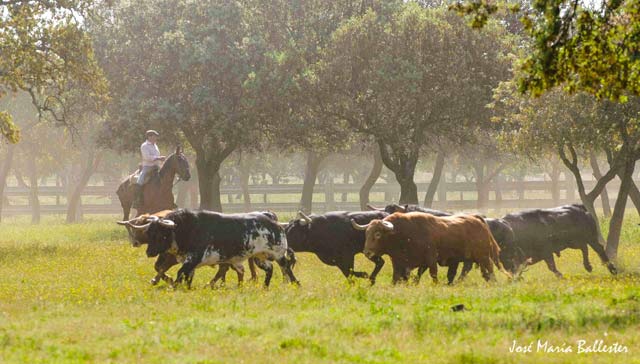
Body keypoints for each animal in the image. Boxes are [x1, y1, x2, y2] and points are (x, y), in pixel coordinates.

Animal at [144, 209, 298, 288]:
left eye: (160, 234)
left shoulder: (193, 258)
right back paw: (265, 287)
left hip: (278, 254)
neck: (187, 228)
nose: (148, 252)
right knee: (269, 269)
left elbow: (180, 273)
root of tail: (274, 222)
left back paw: (296, 284)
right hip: (259, 257)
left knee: (286, 267)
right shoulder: (189, 262)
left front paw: (174, 286)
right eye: (149, 233)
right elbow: (187, 276)